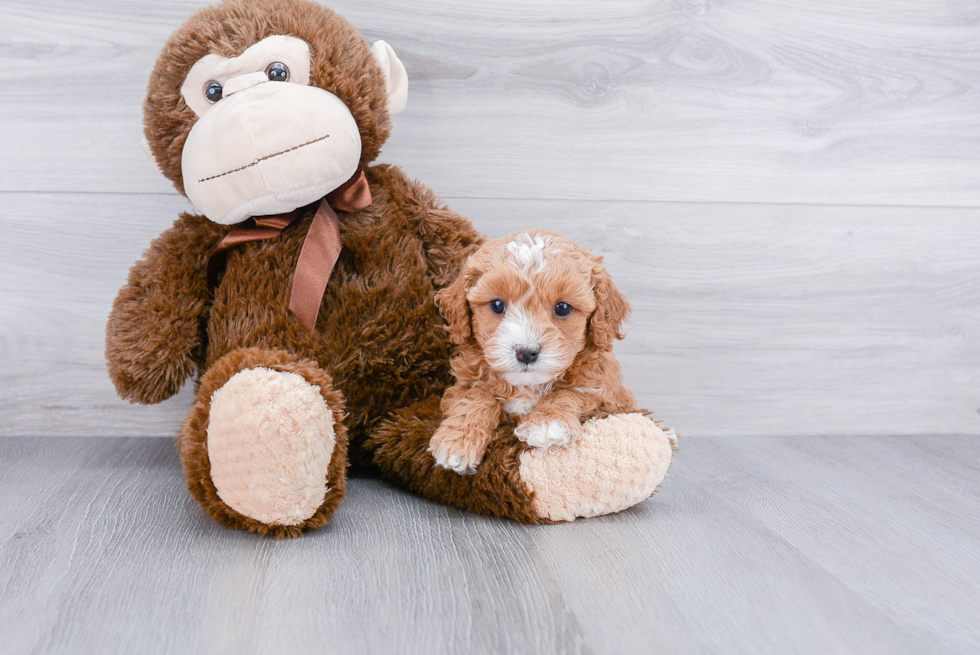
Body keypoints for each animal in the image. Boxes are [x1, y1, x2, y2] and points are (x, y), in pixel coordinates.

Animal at [428, 232, 636, 476]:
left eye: (563, 308)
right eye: (497, 305)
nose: (526, 352)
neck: (527, 386)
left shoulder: (609, 396)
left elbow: (571, 393)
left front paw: (547, 423)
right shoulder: (461, 385)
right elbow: (475, 396)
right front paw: (457, 441)